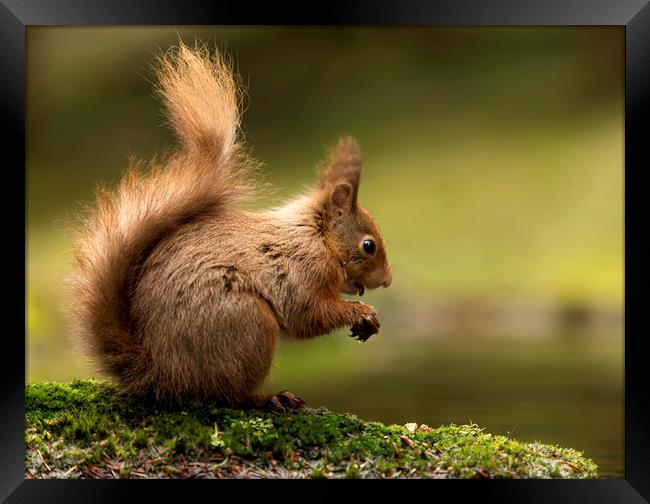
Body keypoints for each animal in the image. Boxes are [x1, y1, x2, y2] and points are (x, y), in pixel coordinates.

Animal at [67, 43, 390, 412]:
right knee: (227, 395)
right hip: (250, 325)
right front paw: (361, 312)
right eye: (368, 246)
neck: (318, 237)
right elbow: (308, 315)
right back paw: (270, 398)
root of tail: (160, 375)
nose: (387, 280)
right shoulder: (301, 270)